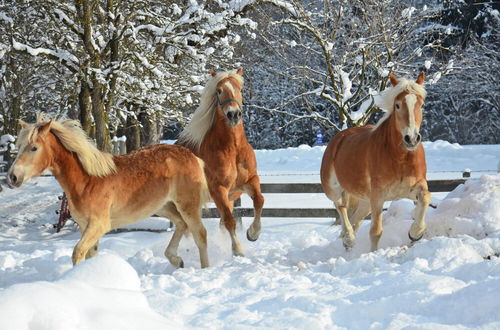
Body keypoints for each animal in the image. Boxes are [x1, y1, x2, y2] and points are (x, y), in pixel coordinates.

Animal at [8, 116, 211, 268]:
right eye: (18, 147)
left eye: (34, 147)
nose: (12, 177)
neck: (88, 181)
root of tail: (192, 156)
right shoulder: (85, 226)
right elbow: (90, 254)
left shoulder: (99, 225)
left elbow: (77, 253)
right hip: (163, 206)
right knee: (181, 225)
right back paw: (176, 260)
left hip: (187, 205)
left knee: (200, 233)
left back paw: (204, 269)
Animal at [179, 67, 266, 258]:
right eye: (219, 91)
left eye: (240, 89)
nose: (233, 114)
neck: (233, 149)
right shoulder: (218, 190)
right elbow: (229, 221)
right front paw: (237, 250)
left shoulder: (248, 182)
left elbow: (259, 201)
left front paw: (253, 233)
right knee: (186, 228)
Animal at [320, 72, 430, 251]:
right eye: (397, 105)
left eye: (421, 105)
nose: (412, 139)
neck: (399, 158)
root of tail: (339, 138)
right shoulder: (378, 196)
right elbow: (376, 231)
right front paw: (373, 253)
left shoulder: (416, 187)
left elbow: (426, 198)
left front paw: (415, 233)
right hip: (334, 188)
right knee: (340, 206)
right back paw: (348, 238)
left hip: (365, 202)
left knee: (354, 219)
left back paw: (346, 241)